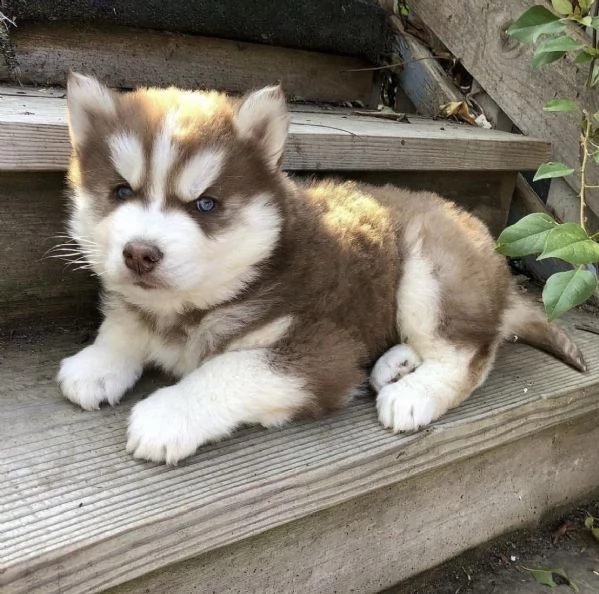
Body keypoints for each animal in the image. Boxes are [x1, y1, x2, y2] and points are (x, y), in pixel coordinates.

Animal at [58, 73, 588, 462]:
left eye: (205, 204)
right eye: (122, 191)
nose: (139, 253)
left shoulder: (320, 352)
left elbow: (229, 369)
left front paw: (170, 413)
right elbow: (124, 321)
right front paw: (99, 362)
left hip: (432, 271)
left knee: (471, 353)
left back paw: (414, 391)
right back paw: (396, 363)